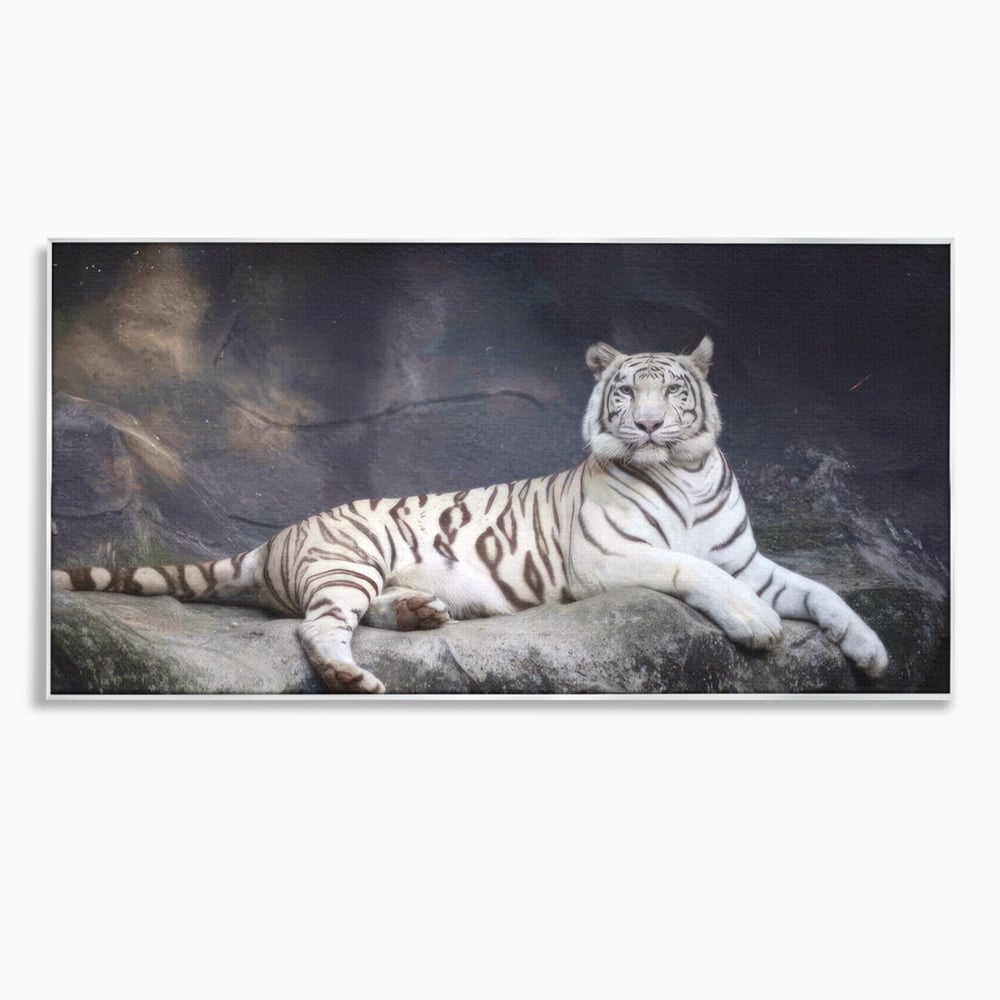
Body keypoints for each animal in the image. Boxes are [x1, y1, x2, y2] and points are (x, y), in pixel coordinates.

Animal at [52, 337, 889, 693]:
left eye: (673, 393)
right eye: (627, 392)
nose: (649, 425)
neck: (680, 471)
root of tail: (278, 538)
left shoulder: (745, 557)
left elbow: (820, 591)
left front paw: (872, 652)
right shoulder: (606, 559)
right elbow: (694, 570)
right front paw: (758, 625)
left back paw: (421, 614)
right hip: (349, 557)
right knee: (316, 628)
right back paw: (351, 675)